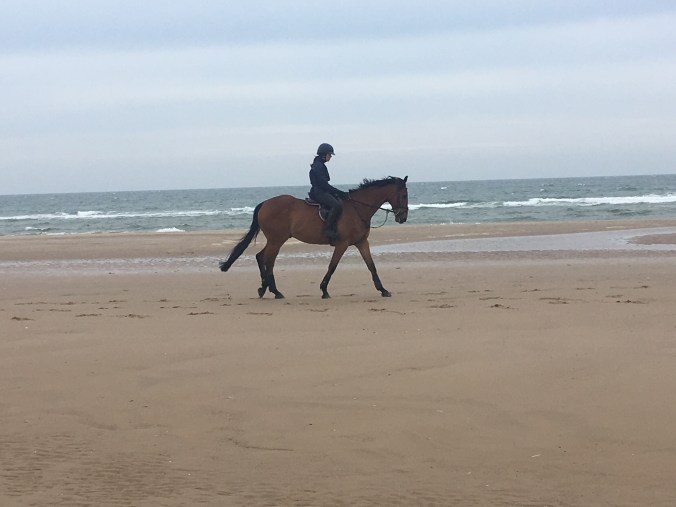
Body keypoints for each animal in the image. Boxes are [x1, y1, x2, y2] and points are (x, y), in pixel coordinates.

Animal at [219, 176, 409, 299]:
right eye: (404, 195)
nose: (403, 218)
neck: (357, 208)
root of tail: (265, 203)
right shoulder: (342, 244)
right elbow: (332, 267)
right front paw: (324, 290)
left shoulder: (361, 242)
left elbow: (371, 266)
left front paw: (383, 290)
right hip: (277, 240)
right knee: (268, 260)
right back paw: (274, 290)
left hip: (275, 240)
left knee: (261, 257)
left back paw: (265, 288)